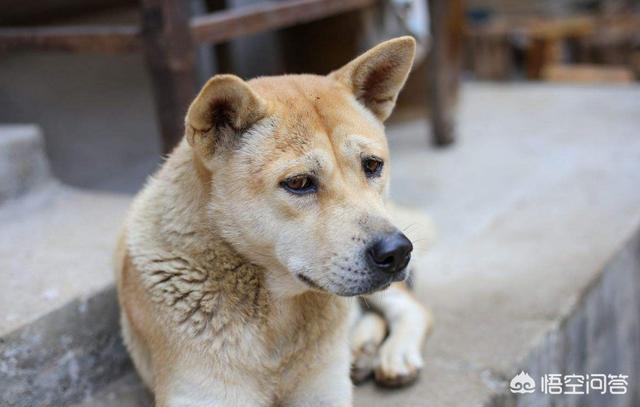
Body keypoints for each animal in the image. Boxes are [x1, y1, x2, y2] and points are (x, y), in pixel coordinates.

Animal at [115, 36, 436, 406]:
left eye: (372, 165)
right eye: (298, 183)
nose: (397, 252)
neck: (275, 312)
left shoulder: (324, 394)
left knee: (411, 307)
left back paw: (393, 353)